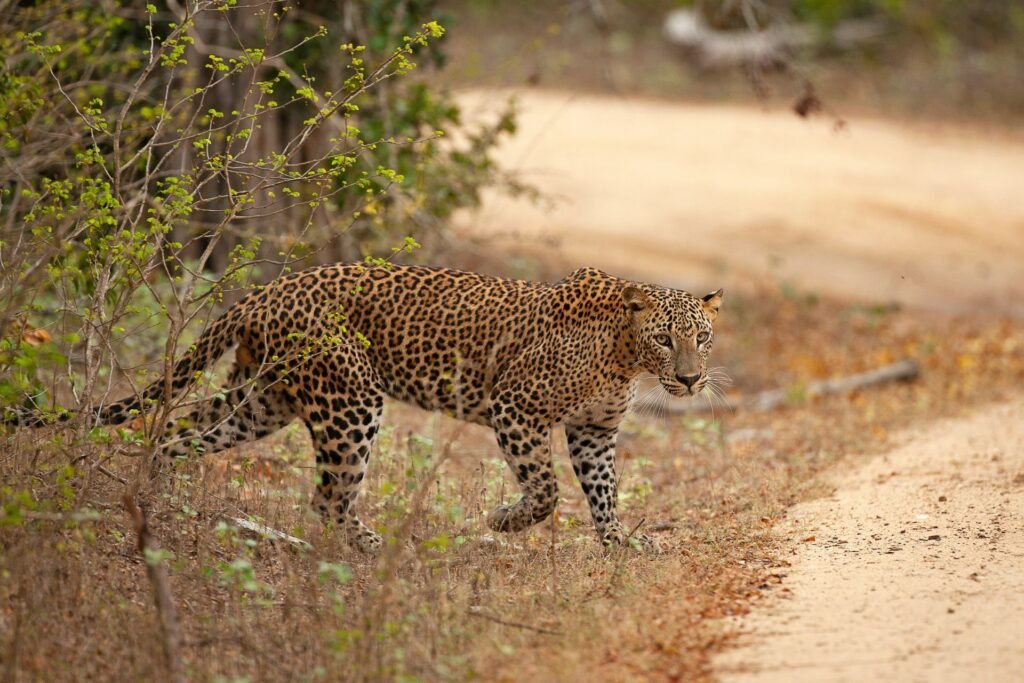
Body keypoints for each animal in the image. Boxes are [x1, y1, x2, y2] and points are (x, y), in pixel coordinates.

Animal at [8, 264, 723, 553]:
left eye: (702, 337)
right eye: (666, 338)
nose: (690, 381)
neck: (625, 355)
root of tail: (265, 291)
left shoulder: (593, 432)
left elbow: (604, 492)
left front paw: (620, 544)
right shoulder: (515, 408)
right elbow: (546, 491)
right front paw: (505, 522)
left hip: (260, 399)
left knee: (174, 436)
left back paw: (151, 501)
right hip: (350, 401)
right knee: (327, 497)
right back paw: (377, 548)